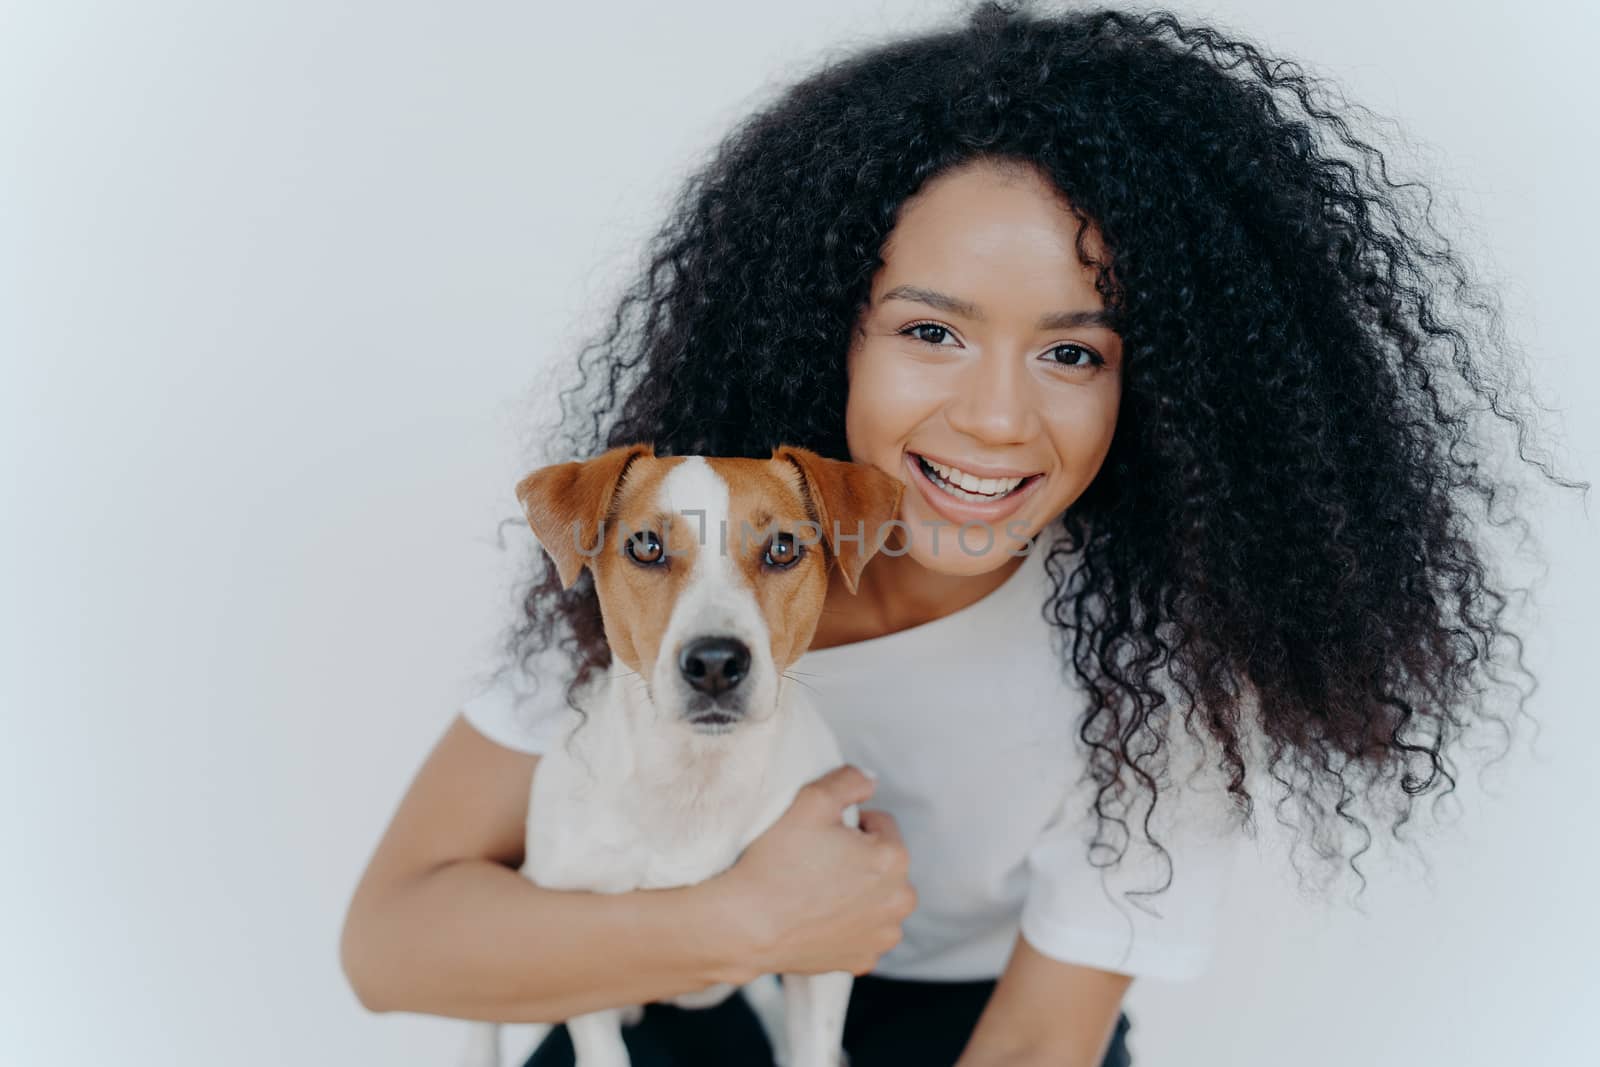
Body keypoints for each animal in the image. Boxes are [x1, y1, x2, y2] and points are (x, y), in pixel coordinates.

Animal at [464, 441, 908, 1067]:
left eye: (783, 548)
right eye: (647, 546)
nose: (716, 662)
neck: (697, 775)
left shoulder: (826, 959)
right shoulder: (576, 952)